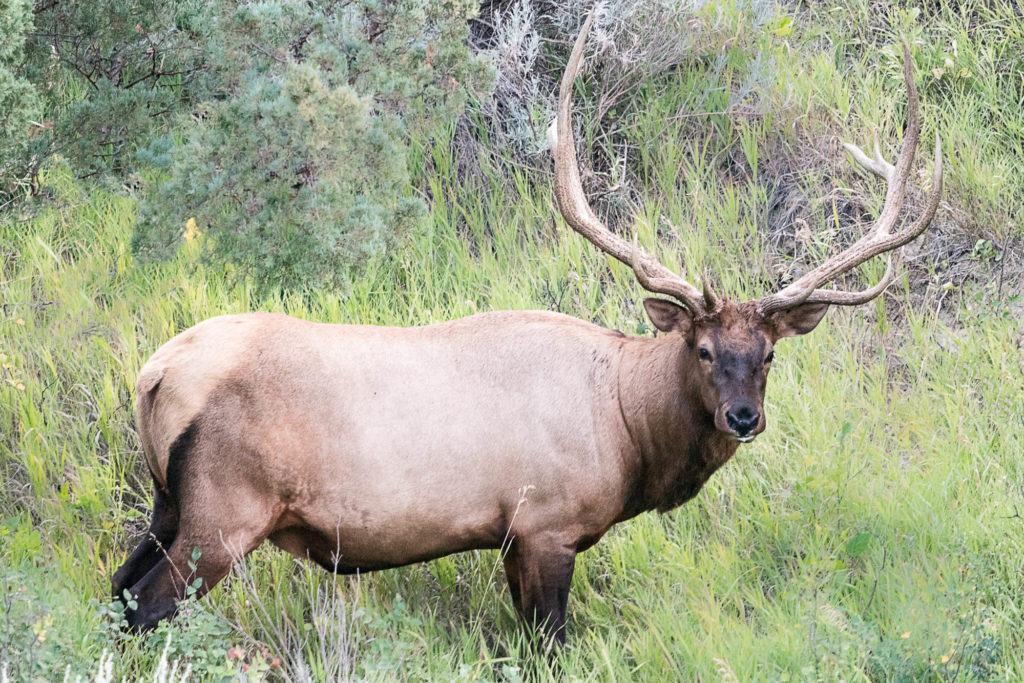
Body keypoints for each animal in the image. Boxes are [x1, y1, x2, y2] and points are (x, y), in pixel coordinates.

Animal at [114, 15, 942, 647]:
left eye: (768, 354)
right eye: (703, 349)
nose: (744, 417)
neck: (627, 427)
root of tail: (155, 375)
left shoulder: (511, 535)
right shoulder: (546, 523)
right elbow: (551, 643)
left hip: (166, 503)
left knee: (116, 591)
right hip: (225, 510)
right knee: (146, 607)